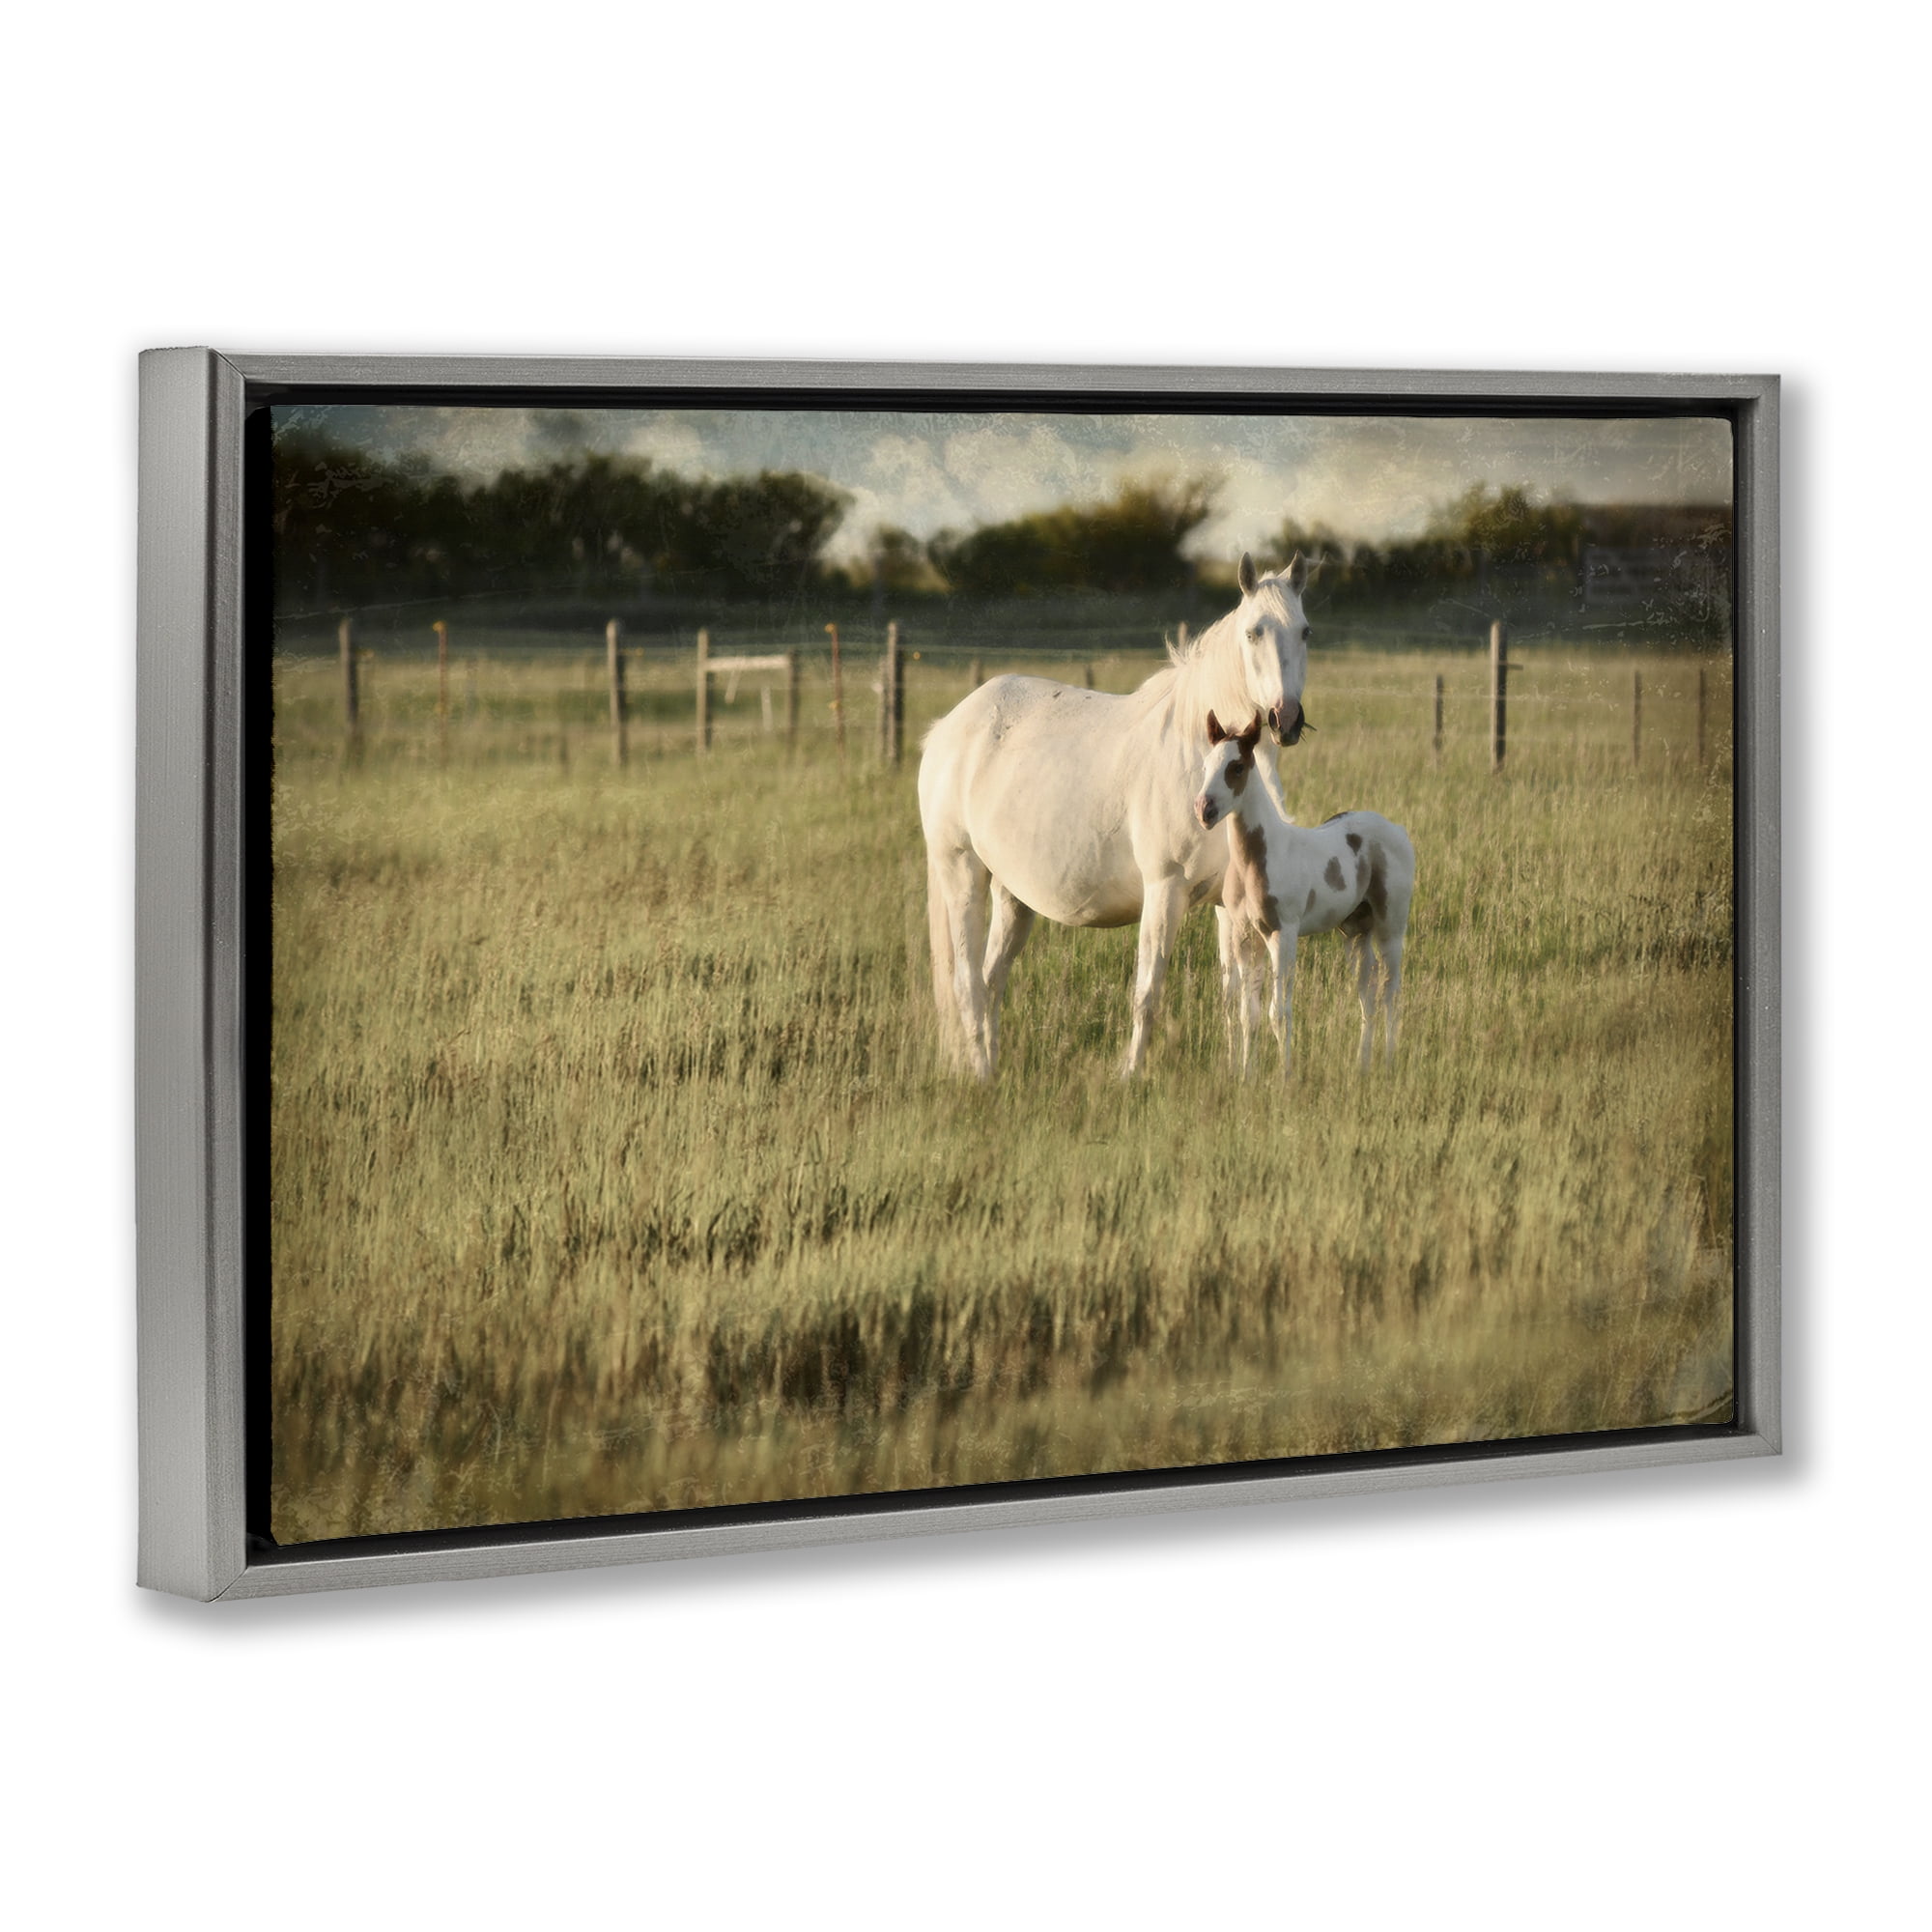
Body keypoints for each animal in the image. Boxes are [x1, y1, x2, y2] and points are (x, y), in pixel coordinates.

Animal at [918, 552, 1314, 1081]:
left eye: (1305, 631)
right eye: (1253, 632)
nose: (1285, 719)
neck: (1194, 754)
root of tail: (947, 728)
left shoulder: (1228, 903)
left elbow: (1236, 997)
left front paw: (1237, 1073)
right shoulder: (1164, 890)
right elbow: (1148, 992)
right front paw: (1129, 1075)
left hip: (1012, 896)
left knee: (990, 980)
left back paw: (993, 1066)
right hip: (962, 873)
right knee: (967, 984)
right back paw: (982, 1074)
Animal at [1193, 710, 1415, 1079]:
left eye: (1236, 767)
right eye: (1206, 764)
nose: (1203, 810)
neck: (1257, 860)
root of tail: (1398, 830)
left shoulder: (1283, 934)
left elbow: (1278, 1013)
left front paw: (1285, 1077)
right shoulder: (1245, 936)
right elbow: (1248, 1014)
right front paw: (1246, 1076)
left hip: (1390, 928)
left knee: (1390, 991)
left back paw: (1388, 1062)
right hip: (1356, 931)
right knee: (1367, 991)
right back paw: (1363, 1064)